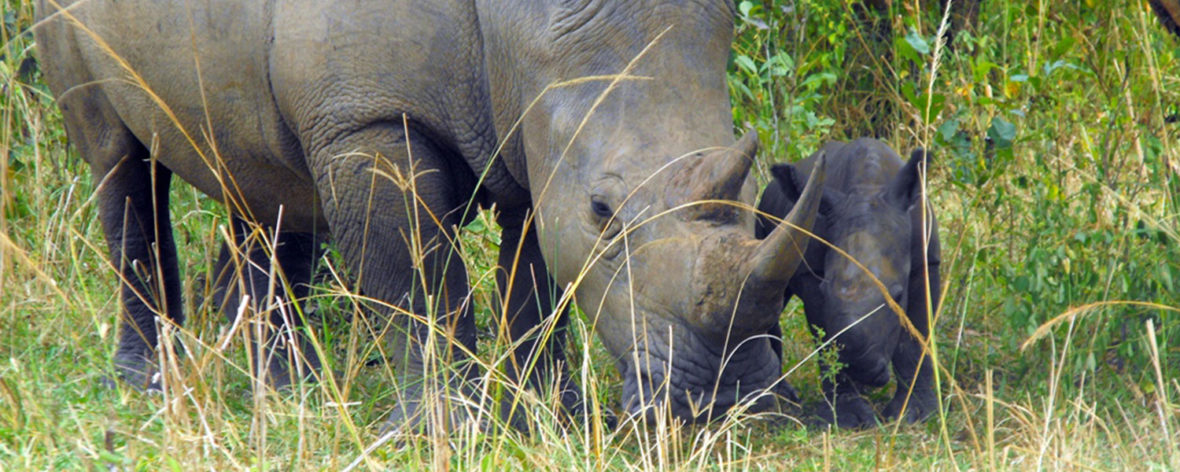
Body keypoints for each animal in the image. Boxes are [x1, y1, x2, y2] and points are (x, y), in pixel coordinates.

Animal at [35, 0, 826, 427]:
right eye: (604, 211)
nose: (730, 398)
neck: (521, 32)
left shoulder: (528, 125)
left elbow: (533, 282)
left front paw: (552, 413)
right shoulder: (368, 120)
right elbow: (420, 281)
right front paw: (439, 427)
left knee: (266, 185)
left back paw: (287, 396)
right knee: (120, 164)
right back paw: (148, 385)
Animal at [756, 138, 941, 428]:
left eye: (897, 296)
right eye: (824, 290)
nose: (860, 369)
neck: (868, 188)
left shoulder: (926, 261)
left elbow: (917, 335)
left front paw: (916, 414)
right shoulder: (812, 274)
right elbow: (826, 335)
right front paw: (847, 418)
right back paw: (782, 395)